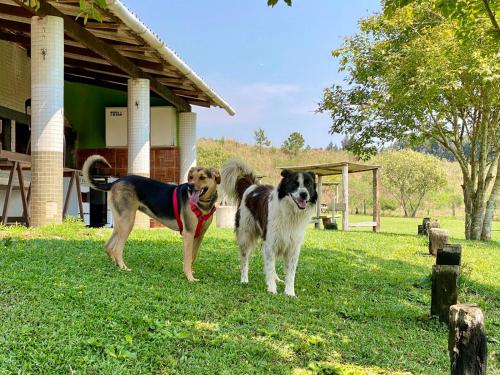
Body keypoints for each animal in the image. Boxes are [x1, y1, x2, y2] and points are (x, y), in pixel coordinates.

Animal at [82, 156, 219, 282]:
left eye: (202, 177)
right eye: (191, 177)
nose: (190, 186)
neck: (202, 205)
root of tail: (115, 182)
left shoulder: (199, 235)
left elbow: (192, 257)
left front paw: (190, 271)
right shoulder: (188, 234)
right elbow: (187, 258)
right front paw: (190, 277)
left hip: (120, 222)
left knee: (108, 246)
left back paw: (115, 264)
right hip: (127, 222)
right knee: (117, 249)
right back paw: (123, 267)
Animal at [222, 159, 316, 296]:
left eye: (308, 185)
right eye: (294, 184)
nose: (304, 194)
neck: (290, 213)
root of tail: (252, 186)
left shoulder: (293, 246)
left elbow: (290, 272)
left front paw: (289, 292)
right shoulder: (270, 242)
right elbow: (270, 266)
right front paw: (272, 289)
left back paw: (276, 278)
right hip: (245, 235)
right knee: (244, 260)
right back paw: (244, 280)